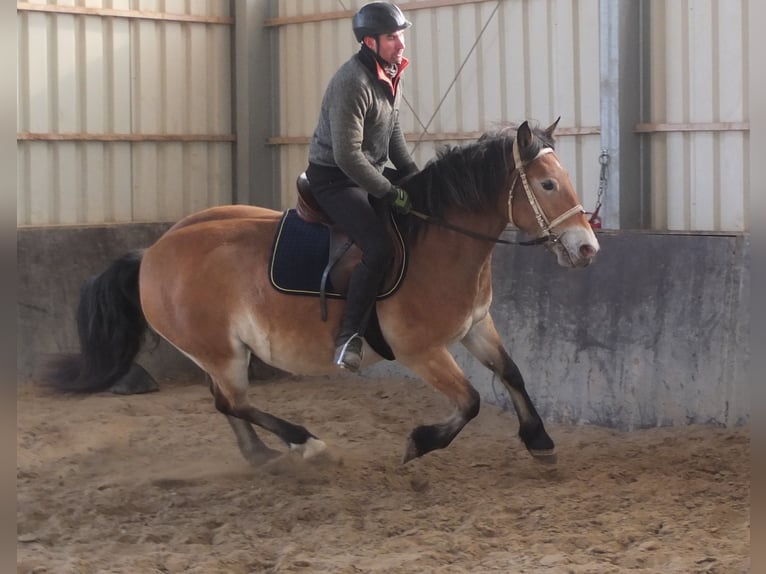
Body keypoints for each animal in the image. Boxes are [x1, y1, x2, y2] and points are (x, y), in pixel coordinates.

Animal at [45, 121, 604, 468]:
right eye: (548, 184)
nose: (587, 248)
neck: (438, 239)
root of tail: (153, 252)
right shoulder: (421, 351)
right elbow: (469, 402)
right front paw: (419, 443)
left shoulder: (475, 326)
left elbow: (512, 374)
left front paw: (540, 440)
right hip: (221, 352)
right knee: (234, 402)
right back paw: (307, 445)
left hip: (219, 352)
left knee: (224, 404)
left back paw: (263, 456)